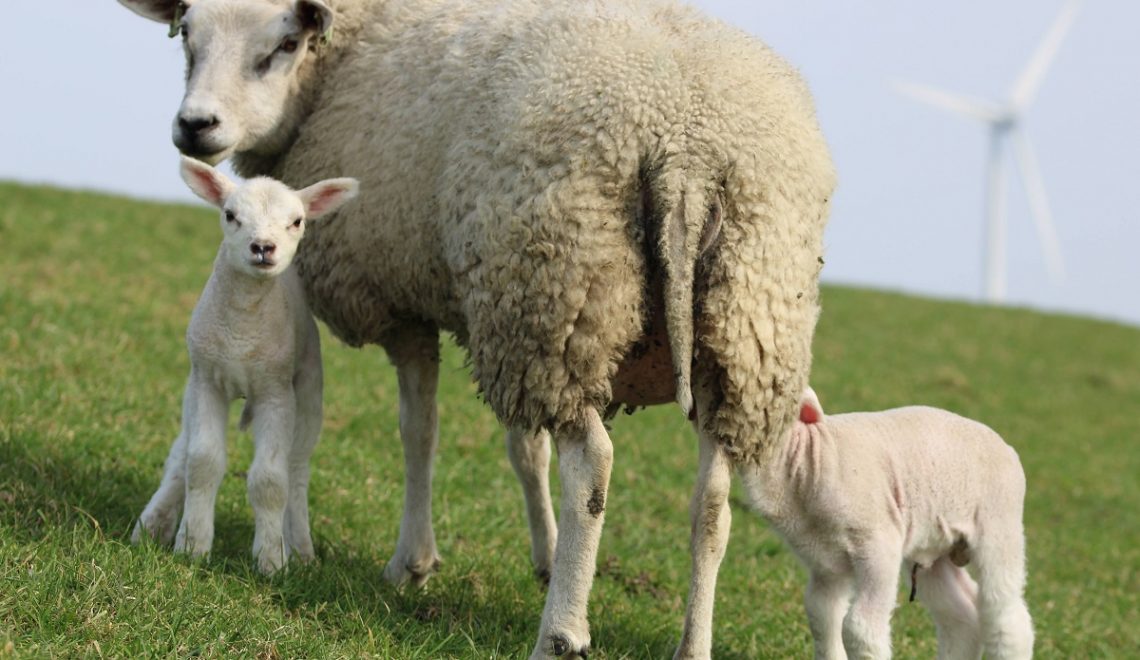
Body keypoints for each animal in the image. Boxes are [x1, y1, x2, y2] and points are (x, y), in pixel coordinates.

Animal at [131, 155, 358, 575]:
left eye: (297, 221)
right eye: (230, 215)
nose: (263, 247)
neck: (242, 328)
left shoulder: (275, 392)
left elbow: (270, 480)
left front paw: (272, 560)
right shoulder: (207, 379)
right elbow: (201, 462)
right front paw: (192, 545)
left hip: (309, 390)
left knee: (297, 468)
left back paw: (301, 549)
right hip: (192, 387)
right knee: (180, 451)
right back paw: (153, 523)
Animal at [739, 388, 1034, 659]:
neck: (811, 457)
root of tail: (1007, 447)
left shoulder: (878, 543)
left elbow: (859, 627)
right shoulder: (824, 563)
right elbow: (821, 616)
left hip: (999, 526)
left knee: (1005, 614)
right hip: (934, 550)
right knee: (960, 616)